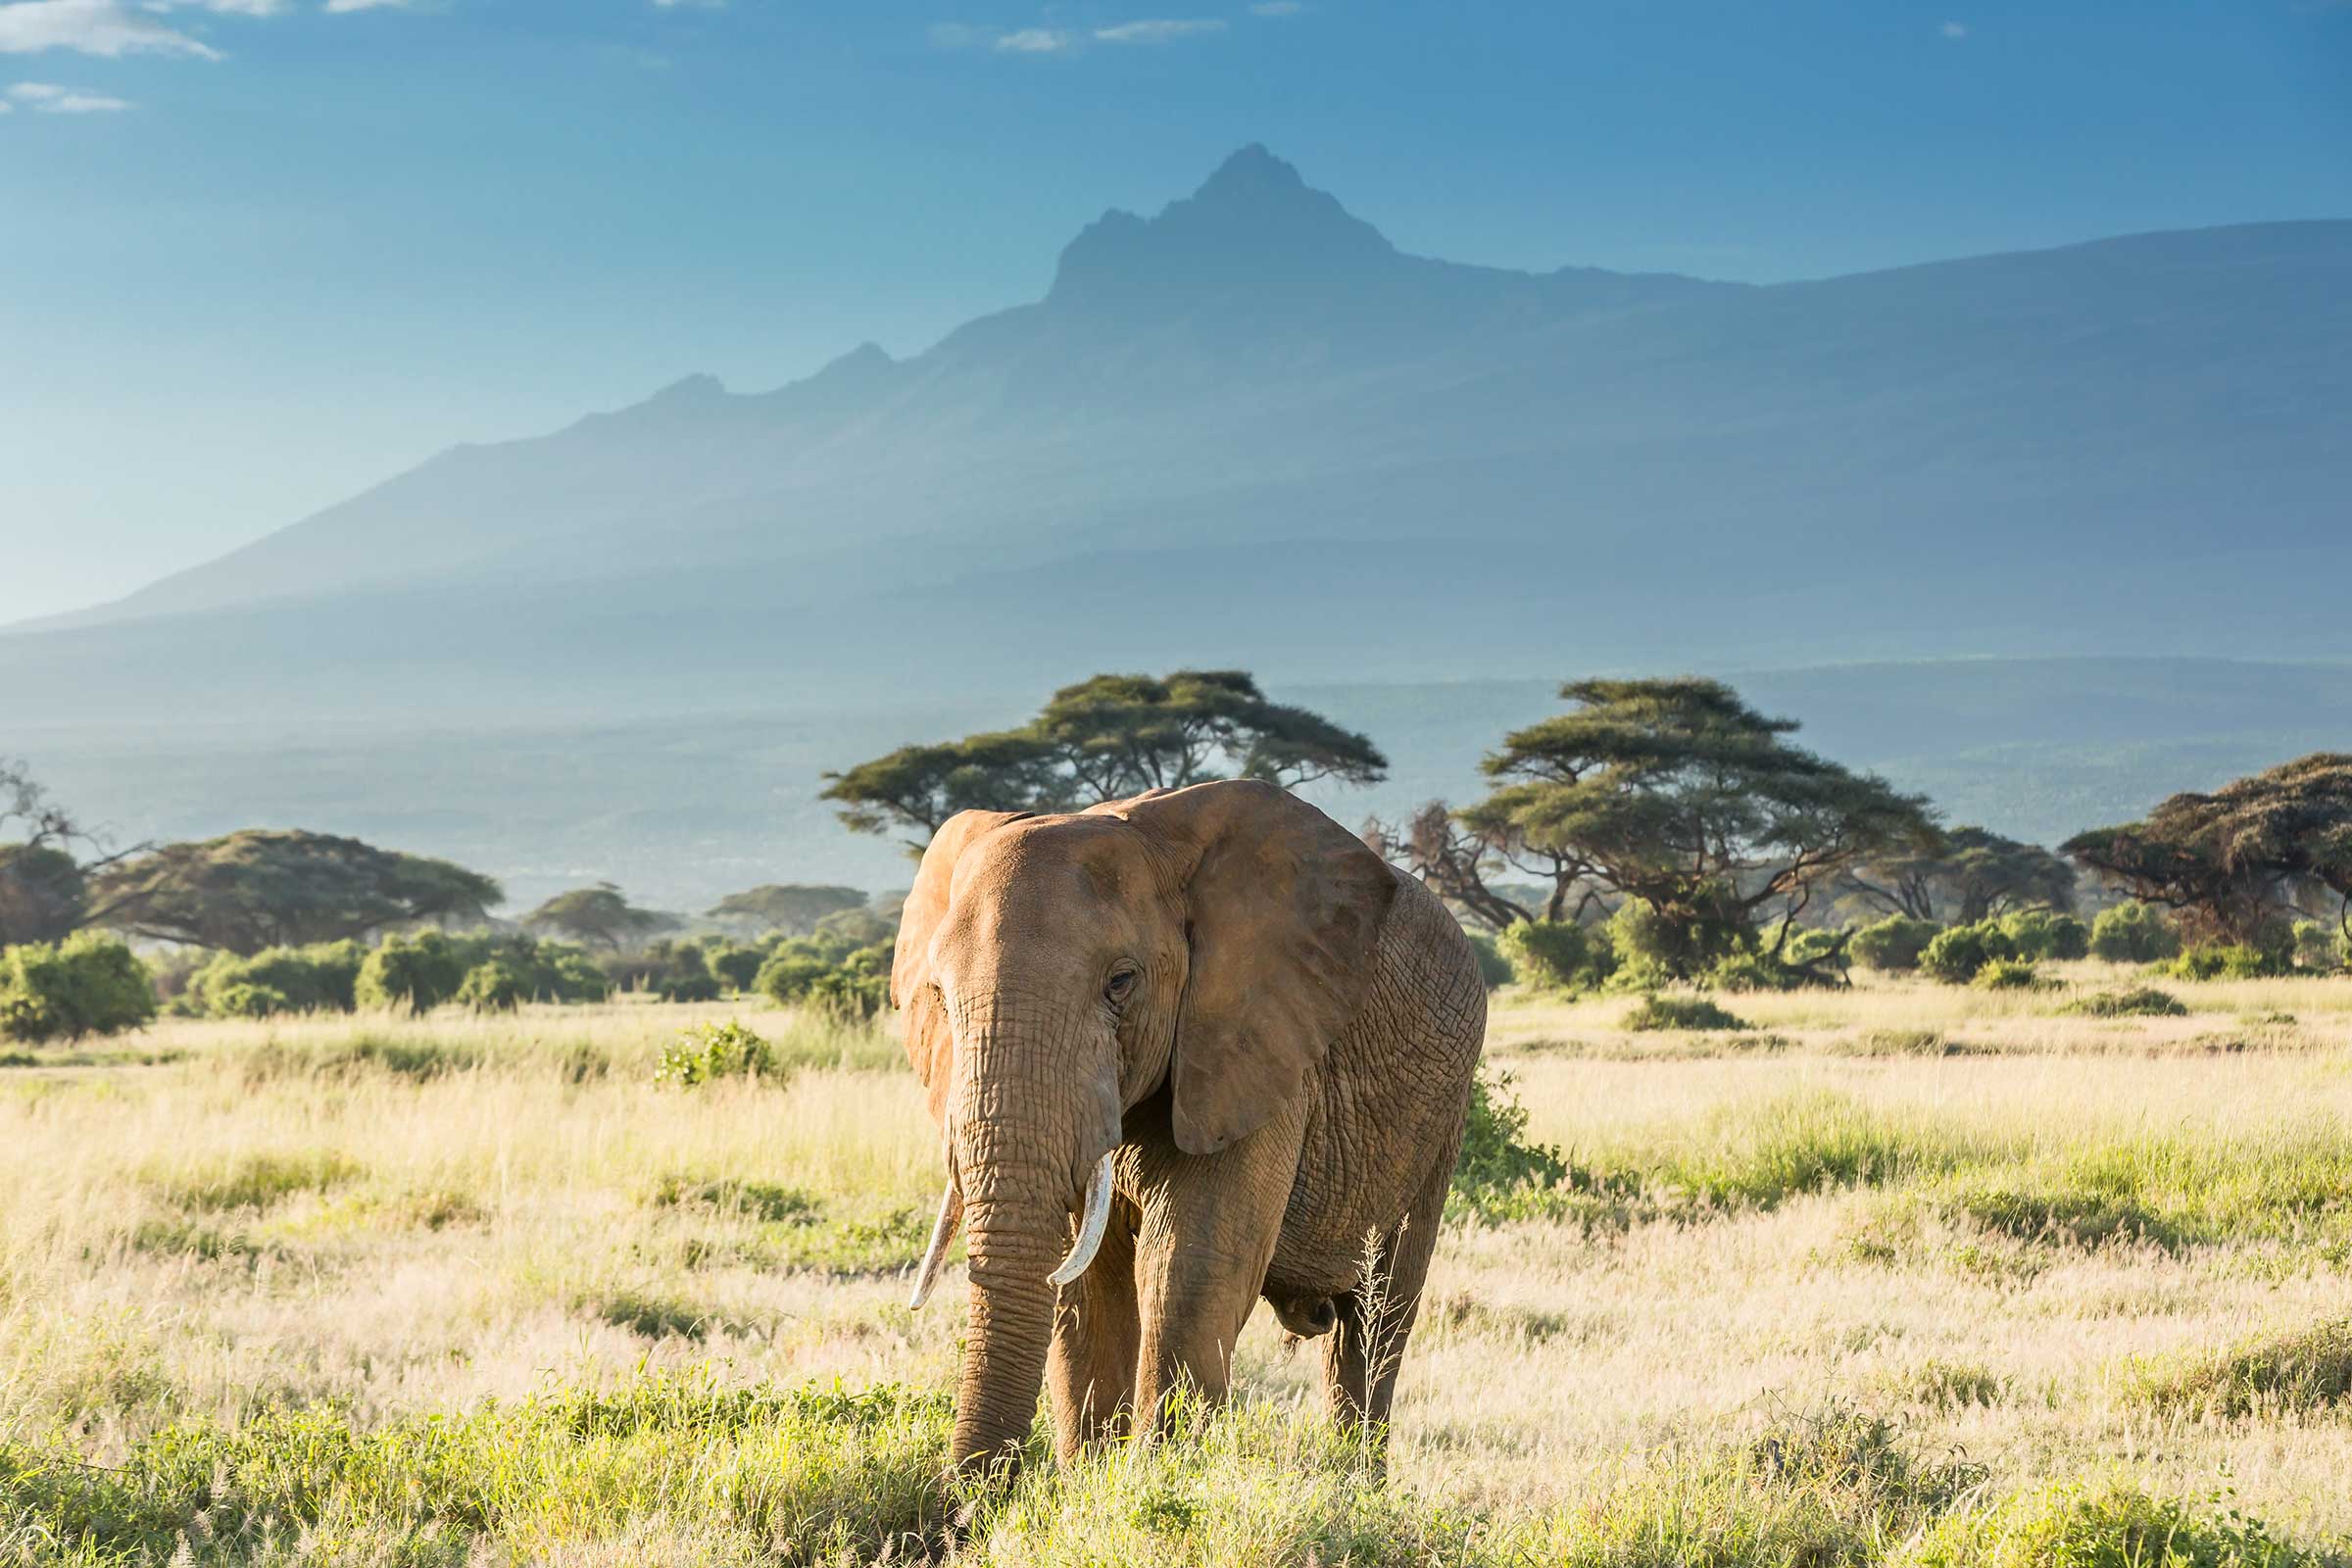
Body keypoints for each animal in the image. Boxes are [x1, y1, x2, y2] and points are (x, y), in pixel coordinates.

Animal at [889, 780, 1477, 1476]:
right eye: (939, 996)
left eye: (1121, 982)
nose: (969, 1498)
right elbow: (1085, 1281)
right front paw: (1095, 1484)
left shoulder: (1252, 1045)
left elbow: (1189, 1266)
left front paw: (1156, 1481)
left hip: (1444, 1113)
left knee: (1379, 1314)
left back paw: (1354, 1487)